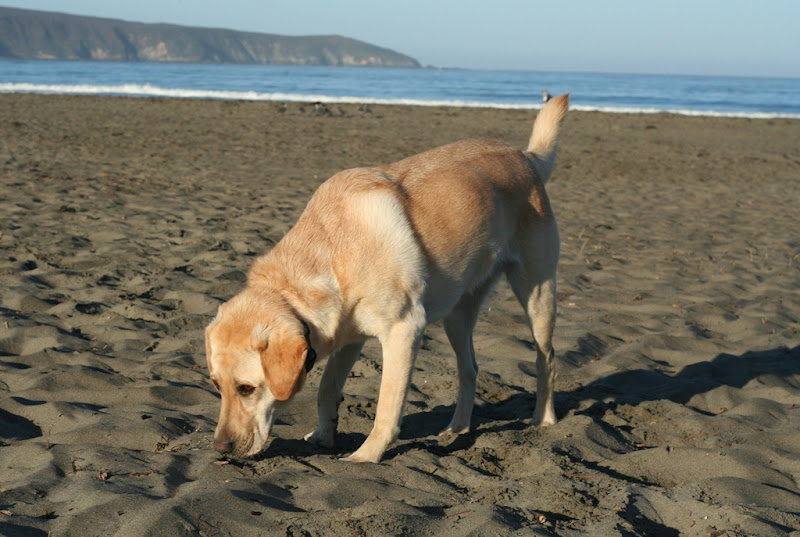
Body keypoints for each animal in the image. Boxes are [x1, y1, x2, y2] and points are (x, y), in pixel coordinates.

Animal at [206, 94, 568, 462]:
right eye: (216, 386)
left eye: (246, 388)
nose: (220, 447)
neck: (334, 251)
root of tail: (524, 156)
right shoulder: (348, 337)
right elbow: (326, 389)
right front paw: (324, 435)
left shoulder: (404, 330)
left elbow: (386, 406)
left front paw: (365, 457)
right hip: (458, 315)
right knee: (470, 369)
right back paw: (457, 429)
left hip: (537, 294)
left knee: (547, 359)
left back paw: (543, 418)